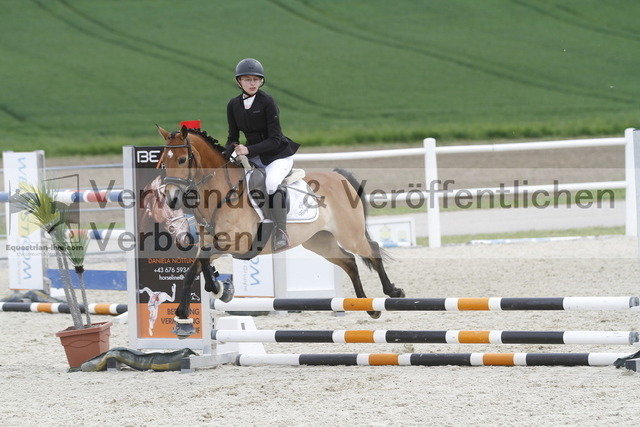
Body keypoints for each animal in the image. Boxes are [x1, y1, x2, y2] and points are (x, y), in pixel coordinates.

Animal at [157, 126, 404, 337]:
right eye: (162, 163)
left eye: (181, 159)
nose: (172, 200)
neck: (220, 194)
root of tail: (339, 176)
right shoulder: (209, 243)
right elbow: (193, 271)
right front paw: (190, 310)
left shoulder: (238, 244)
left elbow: (201, 265)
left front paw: (217, 291)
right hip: (320, 242)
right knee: (350, 261)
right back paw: (368, 307)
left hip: (349, 235)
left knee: (371, 250)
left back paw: (393, 293)